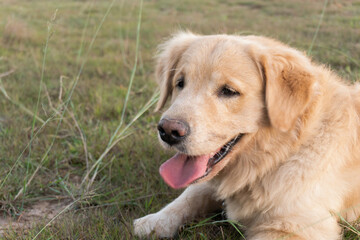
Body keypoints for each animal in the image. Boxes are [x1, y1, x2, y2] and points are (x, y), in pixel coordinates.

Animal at [133, 32, 360, 240]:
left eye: (228, 91)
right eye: (180, 83)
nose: (168, 131)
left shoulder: (296, 227)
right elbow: (191, 193)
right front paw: (155, 221)